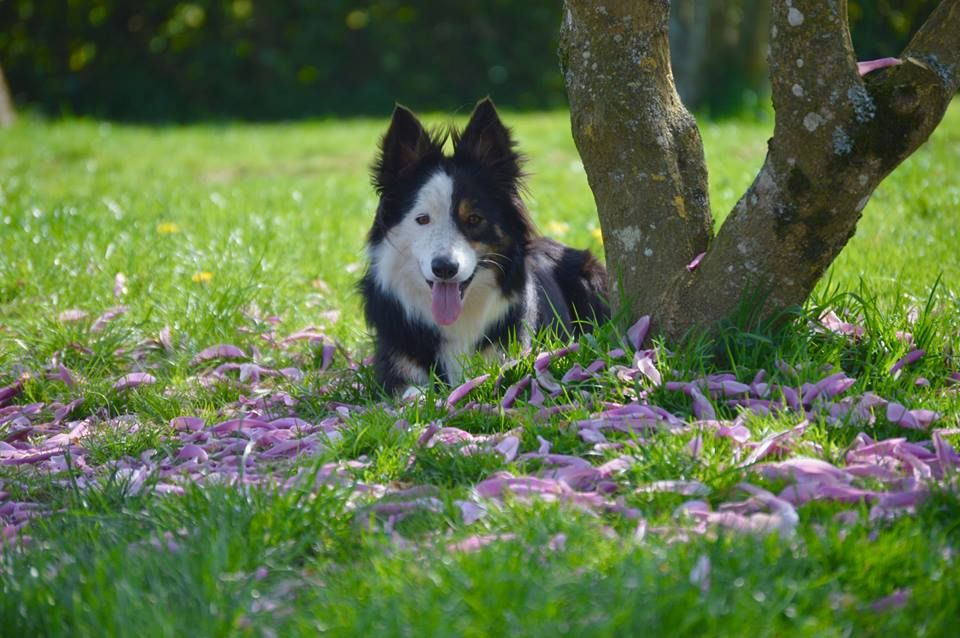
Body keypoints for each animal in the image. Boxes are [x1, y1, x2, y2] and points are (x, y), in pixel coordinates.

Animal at [360, 98, 608, 396]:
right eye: (422, 219)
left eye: (474, 219)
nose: (444, 269)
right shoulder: (396, 370)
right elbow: (412, 394)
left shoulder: (511, 357)